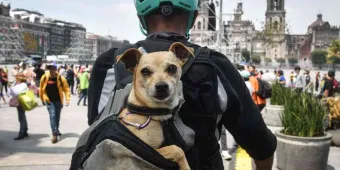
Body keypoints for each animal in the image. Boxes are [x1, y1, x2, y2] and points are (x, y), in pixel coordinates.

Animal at [113, 41, 194, 170]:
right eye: (145, 71)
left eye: (172, 68)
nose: (161, 86)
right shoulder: (147, 149)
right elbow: (177, 149)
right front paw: (185, 166)